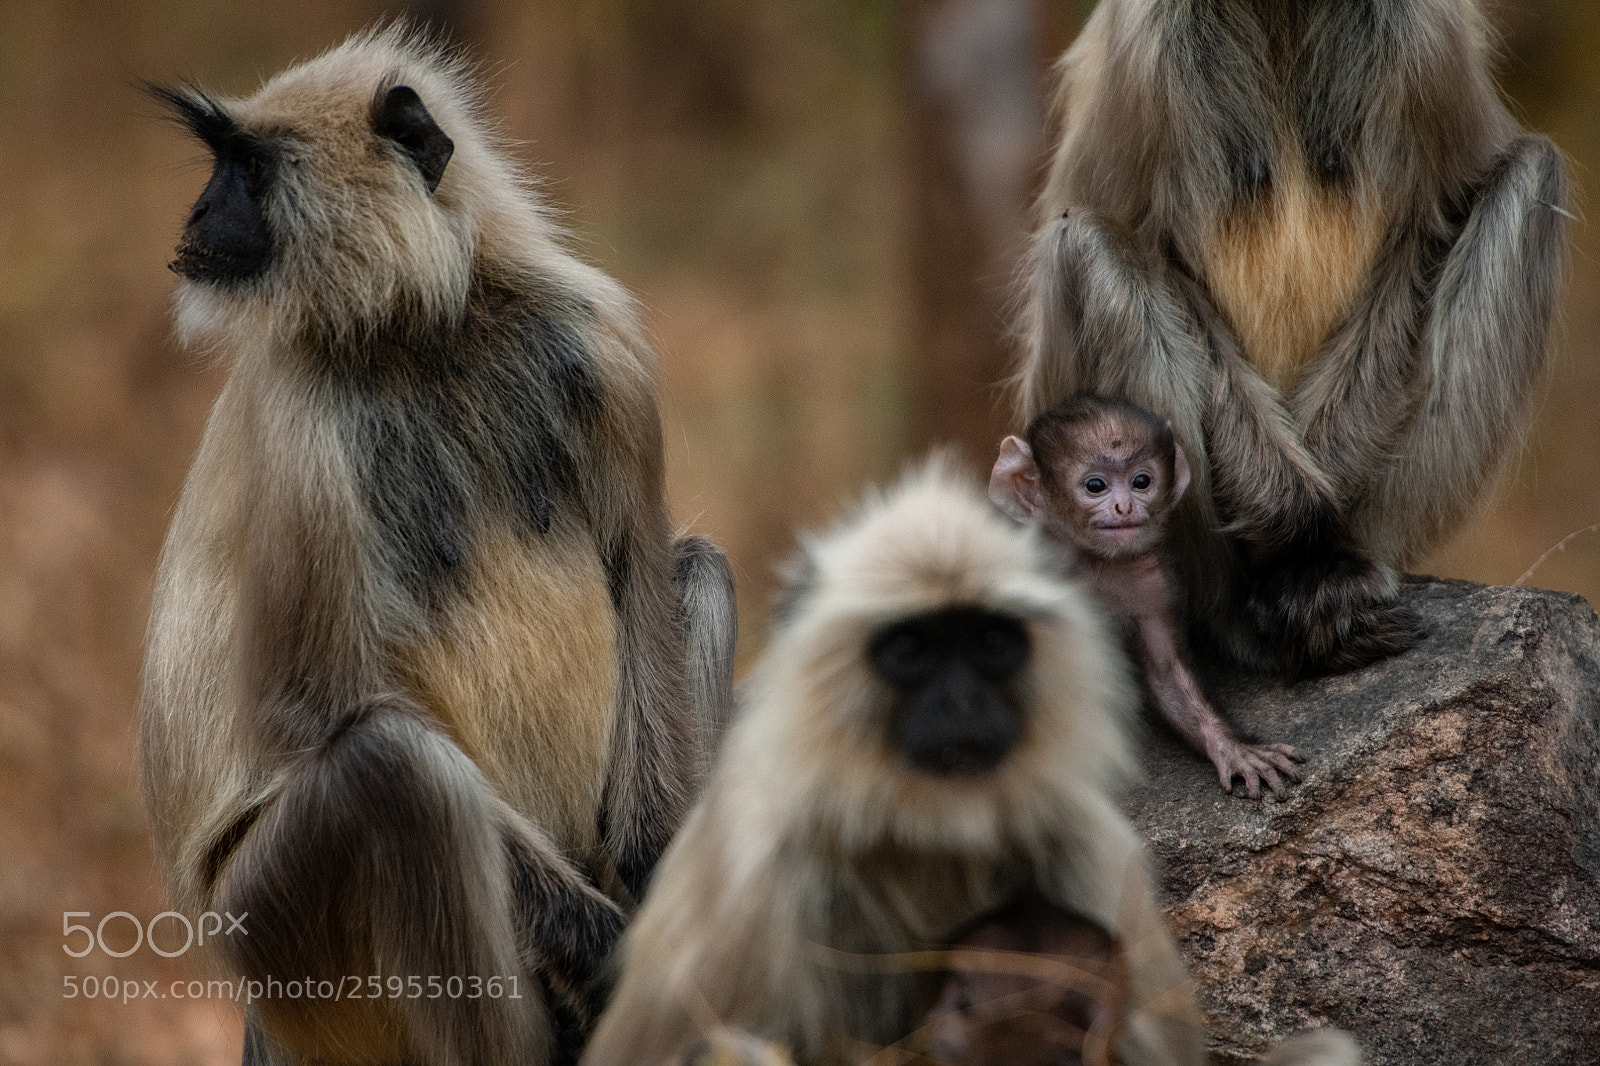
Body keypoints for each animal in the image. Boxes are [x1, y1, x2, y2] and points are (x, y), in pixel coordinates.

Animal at [138, 25, 735, 1066]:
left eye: (246, 171)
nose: (201, 211)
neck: (428, 330)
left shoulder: (602, 341)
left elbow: (639, 572)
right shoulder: (299, 414)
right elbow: (314, 707)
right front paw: (604, 944)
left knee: (691, 571)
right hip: (279, 940)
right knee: (395, 771)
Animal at [990, 394, 1302, 800]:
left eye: (1142, 481)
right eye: (1095, 485)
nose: (1125, 507)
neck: (1094, 563)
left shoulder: (1154, 581)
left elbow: (1167, 672)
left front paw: (1234, 750)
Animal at [1016, 0, 1568, 676]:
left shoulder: (1424, 32)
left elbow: (1432, 225)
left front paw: (1316, 533)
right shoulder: (1148, 44)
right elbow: (1133, 240)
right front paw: (1293, 513)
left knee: (1531, 175)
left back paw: (1329, 574)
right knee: (1081, 241)